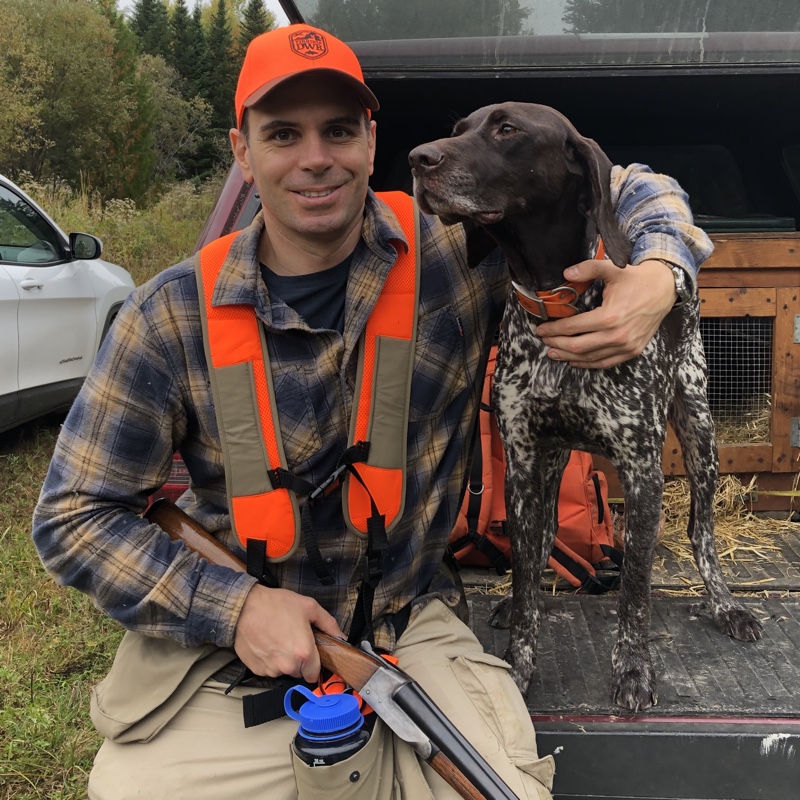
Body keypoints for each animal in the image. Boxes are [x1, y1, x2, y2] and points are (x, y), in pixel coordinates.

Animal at [410, 103, 760, 708]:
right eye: (457, 131)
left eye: (507, 129)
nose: (417, 158)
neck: (553, 302)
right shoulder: (523, 461)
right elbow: (527, 576)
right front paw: (517, 665)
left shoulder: (642, 473)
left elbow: (636, 590)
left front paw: (634, 669)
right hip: (550, 463)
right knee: (543, 541)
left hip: (700, 432)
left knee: (701, 533)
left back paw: (725, 605)